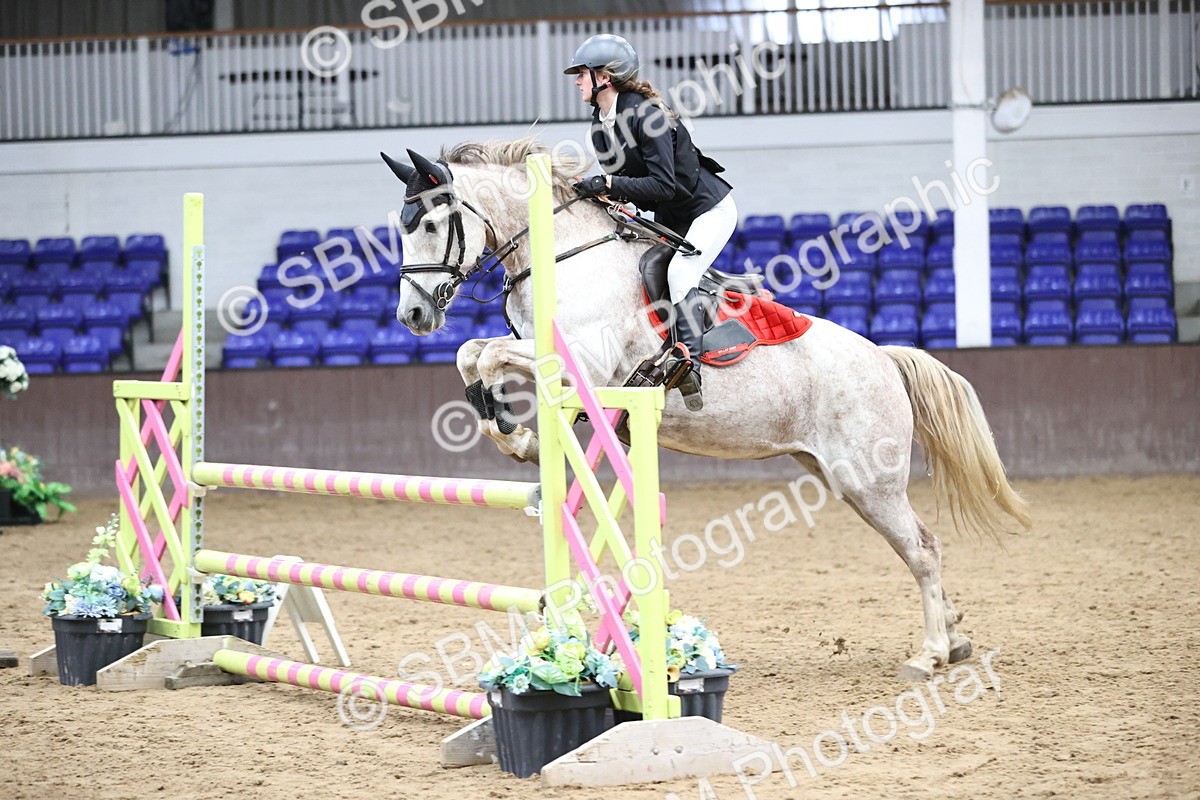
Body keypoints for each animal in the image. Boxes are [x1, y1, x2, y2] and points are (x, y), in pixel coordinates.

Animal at [380, 136, 1031, 681]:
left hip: (867, 478)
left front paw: (516, 434)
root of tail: (885, 360)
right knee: (916, 544)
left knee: (923, 549)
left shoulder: (583, 365)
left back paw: (930, 655)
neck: (566, 256)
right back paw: (955, 638)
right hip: (840, 475)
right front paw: (513, 432)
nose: (412, 316)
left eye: (432, 223)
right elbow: (473, 354)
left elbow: (489, 354)